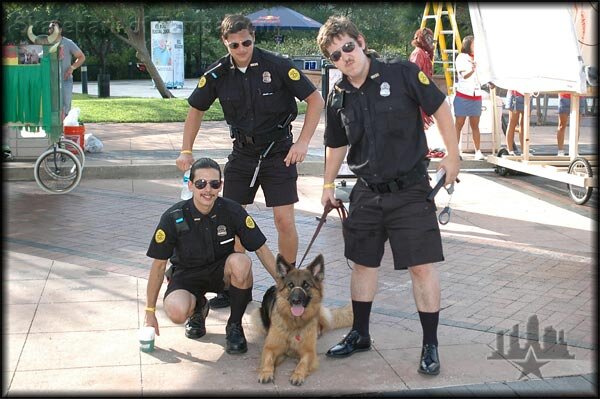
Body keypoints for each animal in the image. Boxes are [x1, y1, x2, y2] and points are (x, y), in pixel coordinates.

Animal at [256, 255, 352, 386]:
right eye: (290, 285)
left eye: (306, 285)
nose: (296, 300)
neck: (295, 323)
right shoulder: (270, 347)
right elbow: (268, 359)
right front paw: (266, 372)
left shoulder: (309, 351)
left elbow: (303, 363)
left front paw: (297, 374)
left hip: (318, 312)